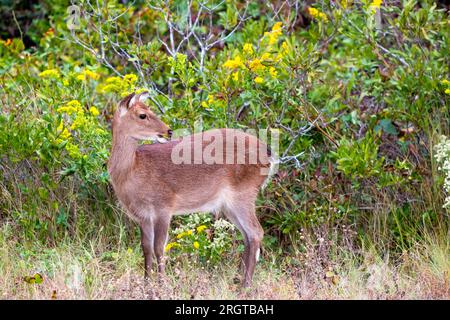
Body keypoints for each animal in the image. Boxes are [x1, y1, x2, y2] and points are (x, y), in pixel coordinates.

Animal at [108, 91, 274, 286]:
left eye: (150, 110)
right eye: (142, 114)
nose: (168, 131)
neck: (133, 171)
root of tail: (269, 153)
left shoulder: (164, 207)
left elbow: (159, 248)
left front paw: (162, 284)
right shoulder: (143, 216)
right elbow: (146, 248)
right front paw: (147, 283)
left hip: (244, 194)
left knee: (256, 232)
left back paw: (245, 286)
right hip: (229, 204)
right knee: (247, 236)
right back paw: (237, 280)